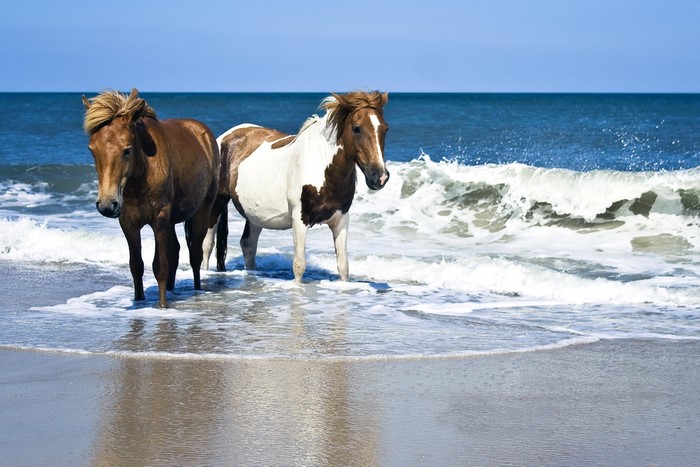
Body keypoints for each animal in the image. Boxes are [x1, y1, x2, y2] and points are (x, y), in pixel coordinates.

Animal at [82, 89, 219, 307]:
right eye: (92, 150)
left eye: (127, 150)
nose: (106, 205)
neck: (143, 173)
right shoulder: (128, 223)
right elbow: (136, 265)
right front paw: (139, 301)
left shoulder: (159, 219)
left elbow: (160, 266)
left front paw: (162, 306)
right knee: (175, 251)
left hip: (202, 211)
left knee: (195, 254)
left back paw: (196, 290)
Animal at [204, 91, 389, 283]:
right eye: (356, 128)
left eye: (385, 129)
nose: (380, 177)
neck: (321, 167)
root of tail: (224, 137)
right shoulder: (299, 220)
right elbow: (299, 265)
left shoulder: (341, 220)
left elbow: (343, 266)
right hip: (217, 203)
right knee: (207, 245)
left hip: (255, 215)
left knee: (248, 245)